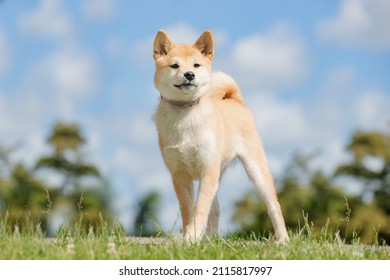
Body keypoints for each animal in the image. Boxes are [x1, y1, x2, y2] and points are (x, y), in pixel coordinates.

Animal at [152, 29, 290, 243]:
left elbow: (200, 209)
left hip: (256, 170)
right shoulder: (180, 174)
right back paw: (209, 239)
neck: (186, 115)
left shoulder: (208, 170)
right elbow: (188, 211)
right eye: (174, 65)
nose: (189, 74)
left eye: (196, 65)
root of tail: (236, 100)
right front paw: (189, 237)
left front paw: (192, 238)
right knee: (215, 208)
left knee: (274, 205)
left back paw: (282, 239)